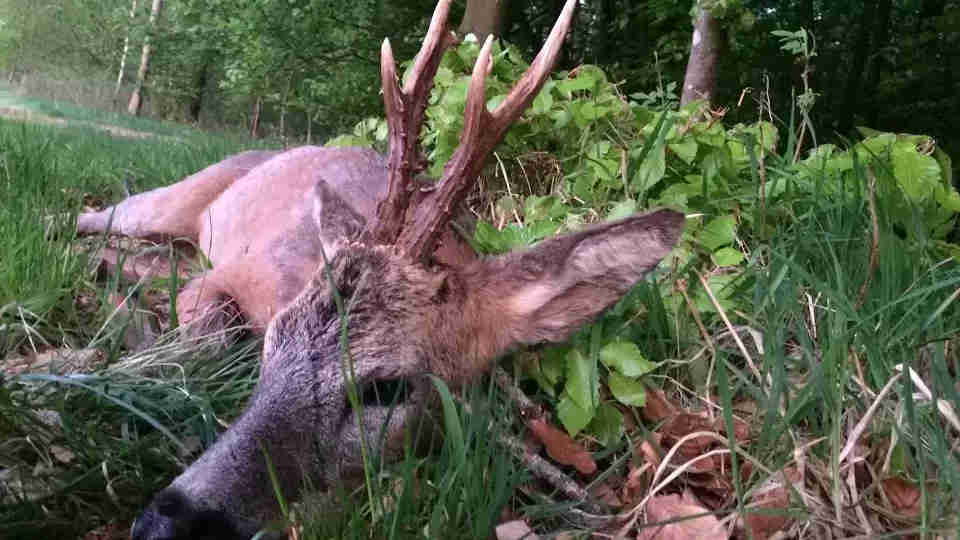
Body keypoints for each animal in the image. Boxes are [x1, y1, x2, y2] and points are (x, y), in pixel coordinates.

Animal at [124, 2, 688, 536]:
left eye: (387, 389)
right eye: (274, 341)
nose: (162, 524)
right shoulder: (234, 277)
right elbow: (212, 333)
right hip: (166, 201)